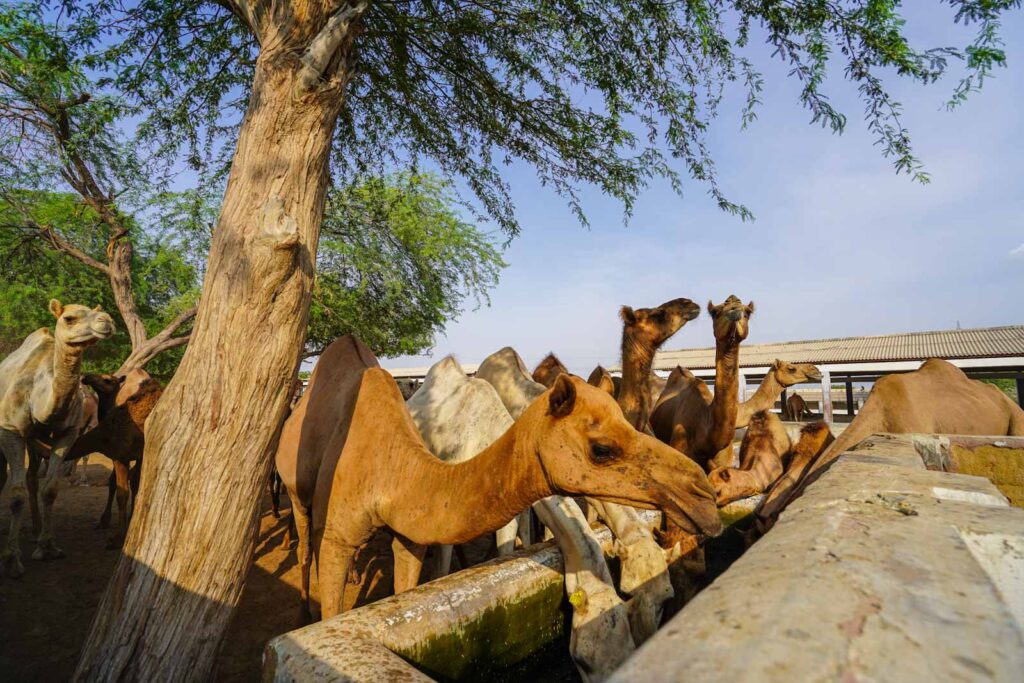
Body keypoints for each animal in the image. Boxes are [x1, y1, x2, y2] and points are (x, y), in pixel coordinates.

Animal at [0, 300, 114, 576]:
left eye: (99, 312)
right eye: (69, 318)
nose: (106, 321)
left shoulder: (66, 433)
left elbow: (50, 488)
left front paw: (47, 547)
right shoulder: (9, 430)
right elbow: (15, 493)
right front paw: (11, 559)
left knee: (32, 477)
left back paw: (35, 529)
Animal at [66, 369, 162, 547]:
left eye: (108, 380)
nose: (86, 376)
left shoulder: (127, 454)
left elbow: (126, 484)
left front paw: (118, 530)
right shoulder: (122, 454)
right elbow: (118, 483)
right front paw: (107, 521)